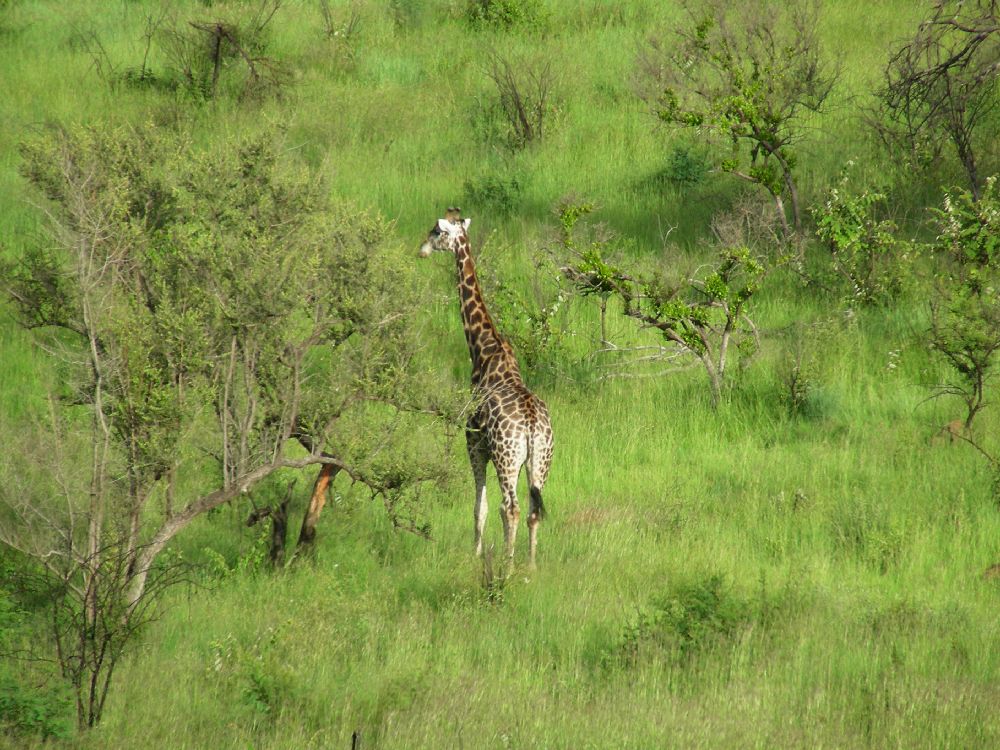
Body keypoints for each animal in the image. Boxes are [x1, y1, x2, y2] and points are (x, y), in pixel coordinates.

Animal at [419, 208, 554, 567]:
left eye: (436, 231)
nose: (422, 250)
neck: (482, 349)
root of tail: (532, 426)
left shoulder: (474, 443)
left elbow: (479, 508)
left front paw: (476, 555)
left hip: (507, 458)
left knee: (512, 508)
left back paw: (507, 565)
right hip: (540, 460)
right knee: (533, 509)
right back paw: (530, 566)